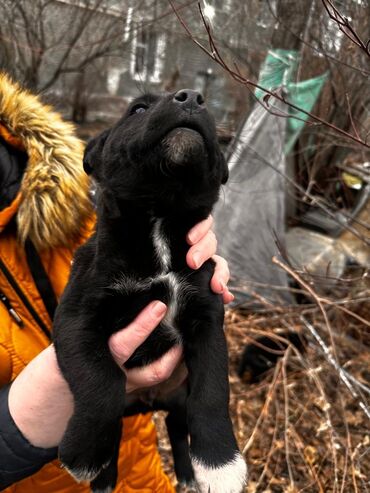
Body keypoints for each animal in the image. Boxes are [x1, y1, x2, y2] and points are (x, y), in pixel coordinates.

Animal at [53, 90, 247, 492]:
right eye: (137, 109)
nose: (192, 97)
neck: (160, 216)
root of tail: (151, 400)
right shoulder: (77, 319)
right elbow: (102, 382)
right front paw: (85, 454)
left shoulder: (207, 321)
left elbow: (212, 392)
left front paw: (220, 464)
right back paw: (103, 476)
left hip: (178, 396)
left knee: (177, 424)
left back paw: (188, 474)